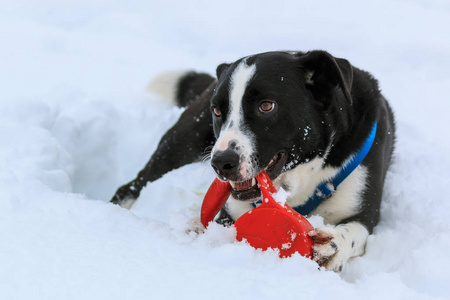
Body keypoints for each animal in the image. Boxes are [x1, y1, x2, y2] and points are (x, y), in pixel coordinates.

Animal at [110, 51, 396, 272]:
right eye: (218, 111)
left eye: (266, 106)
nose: (221, 163)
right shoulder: (230, 211)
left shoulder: (365, 208)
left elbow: (357, 231)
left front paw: (334, 244)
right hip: (181, 144)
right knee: (133, 185)